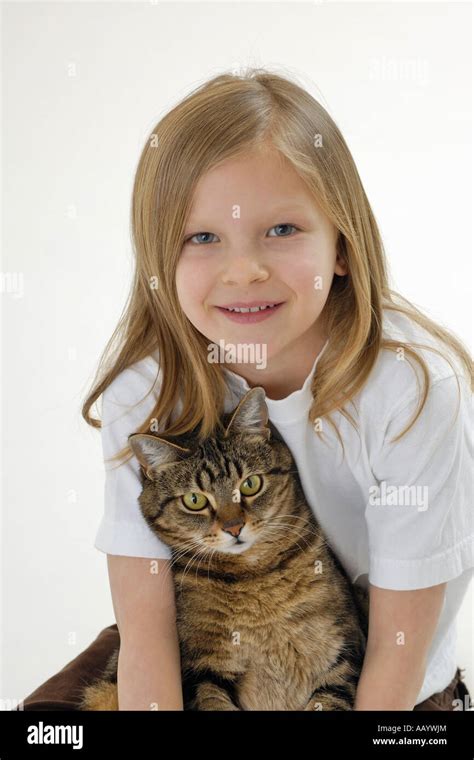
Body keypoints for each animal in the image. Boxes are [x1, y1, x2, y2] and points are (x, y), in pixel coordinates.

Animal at [79, 388, 368, 708]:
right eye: (194, 500)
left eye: (250, 484)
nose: (234, 527)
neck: (255, 578)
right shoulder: (204, 669)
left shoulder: (342, 652)